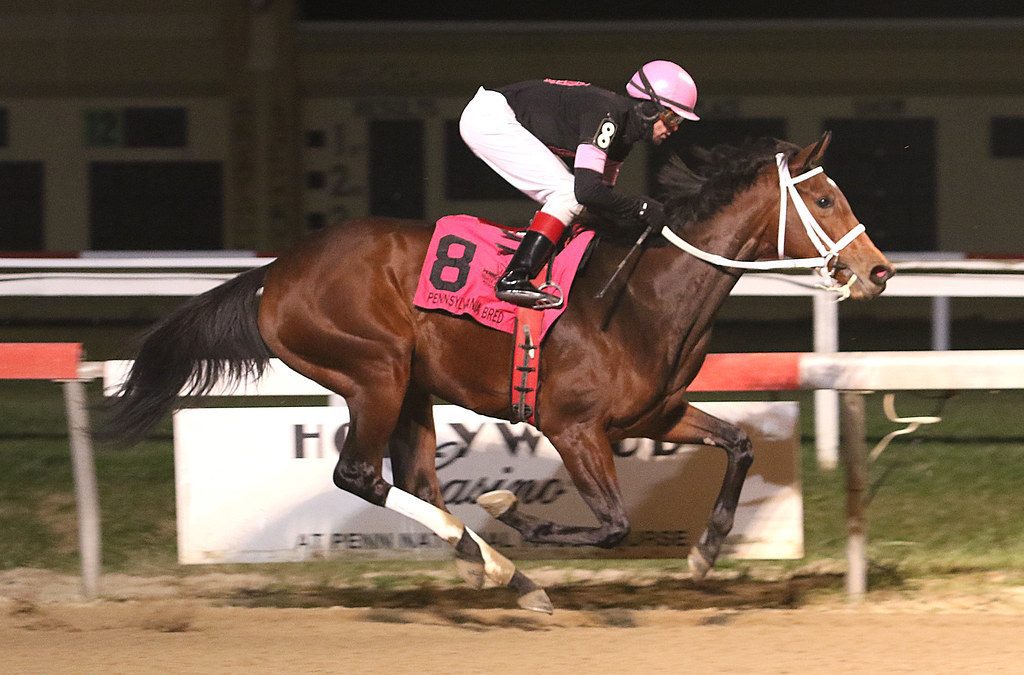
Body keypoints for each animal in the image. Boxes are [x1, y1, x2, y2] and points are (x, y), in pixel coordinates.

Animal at [104, 131, 894, 614]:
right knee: (360, 475)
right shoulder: (573, 427)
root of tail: (274, 275)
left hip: (413, 386)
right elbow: (611, 525)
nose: (878, 270)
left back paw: (499, 570)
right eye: (825, 198)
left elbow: (740, 443)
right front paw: (512, 507)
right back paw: (497, 562)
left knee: (416, 479)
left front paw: (704, 554)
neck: (644, 295)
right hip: (375, 371)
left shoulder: (657, 413)